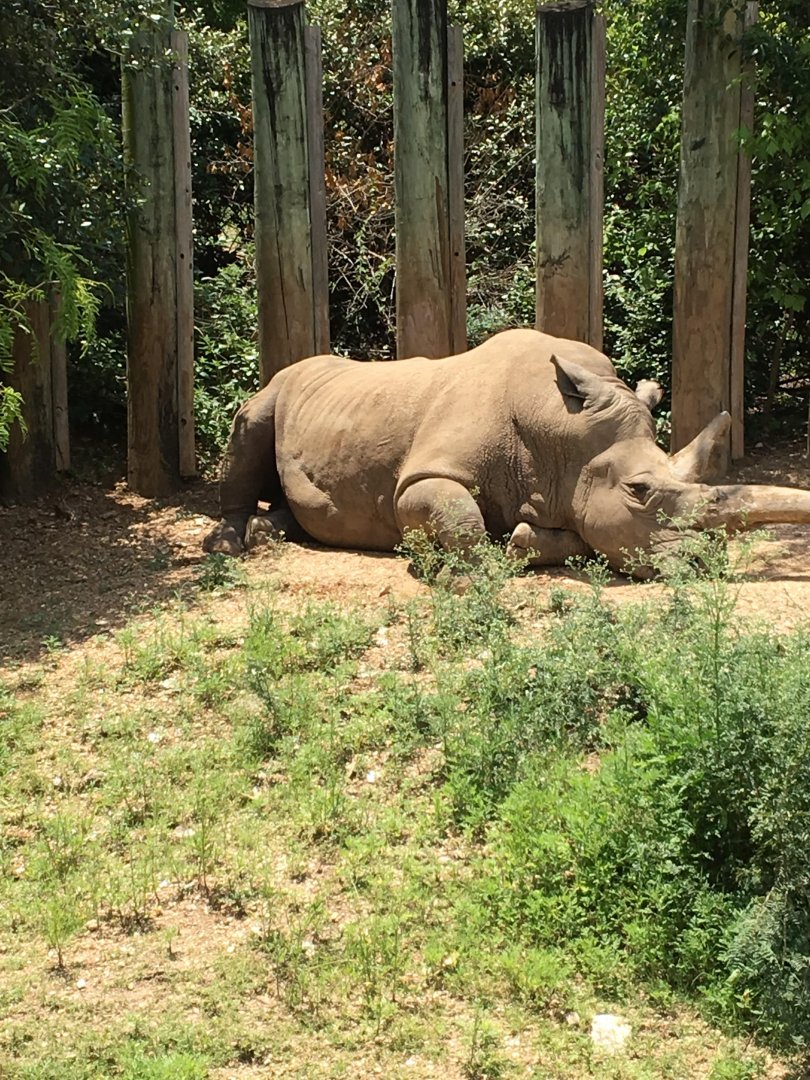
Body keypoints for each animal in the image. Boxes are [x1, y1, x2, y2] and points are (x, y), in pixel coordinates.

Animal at [204, 328, 810, 577]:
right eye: (639, 491)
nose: (709, 563)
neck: (560, 438)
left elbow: (572, 534)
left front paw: (521, 540)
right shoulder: (423, 477)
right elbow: (450, 511)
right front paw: (463, 576)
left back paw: (269, 533)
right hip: (276, 389)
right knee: (250, 424)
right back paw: (229, 547)